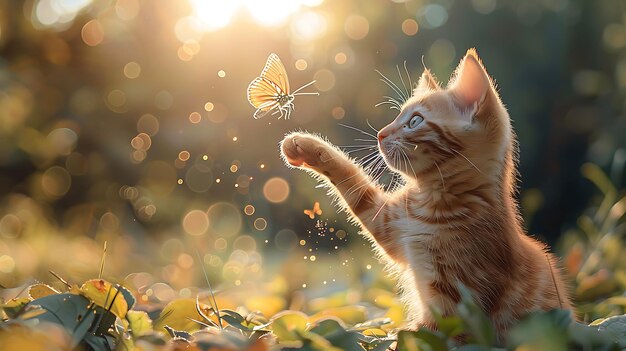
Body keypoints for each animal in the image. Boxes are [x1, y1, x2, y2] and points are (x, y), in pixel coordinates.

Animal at [282, 48, 572, 338]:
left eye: (414, 121)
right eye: (398, 117)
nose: (380, 134)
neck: (432, 202)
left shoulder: (456, 309)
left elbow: (415, 336)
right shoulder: (390, 223)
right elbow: (355, 185)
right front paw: (306, 147)